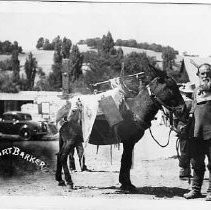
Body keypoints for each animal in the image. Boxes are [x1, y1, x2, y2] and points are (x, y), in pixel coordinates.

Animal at [55, 64, 188, 190]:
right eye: (170, 87)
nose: (183, 110)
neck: (135, 111)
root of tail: (65, 115)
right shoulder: (129, 142)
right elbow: (126, 161)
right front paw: (127, 185)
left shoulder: (128, 142)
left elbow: (125, 161)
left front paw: (125, 183)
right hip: (71, 140)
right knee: (62, 157)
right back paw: (69, 182)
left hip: (67, 141)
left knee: (59, 155)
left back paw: (60, 180)